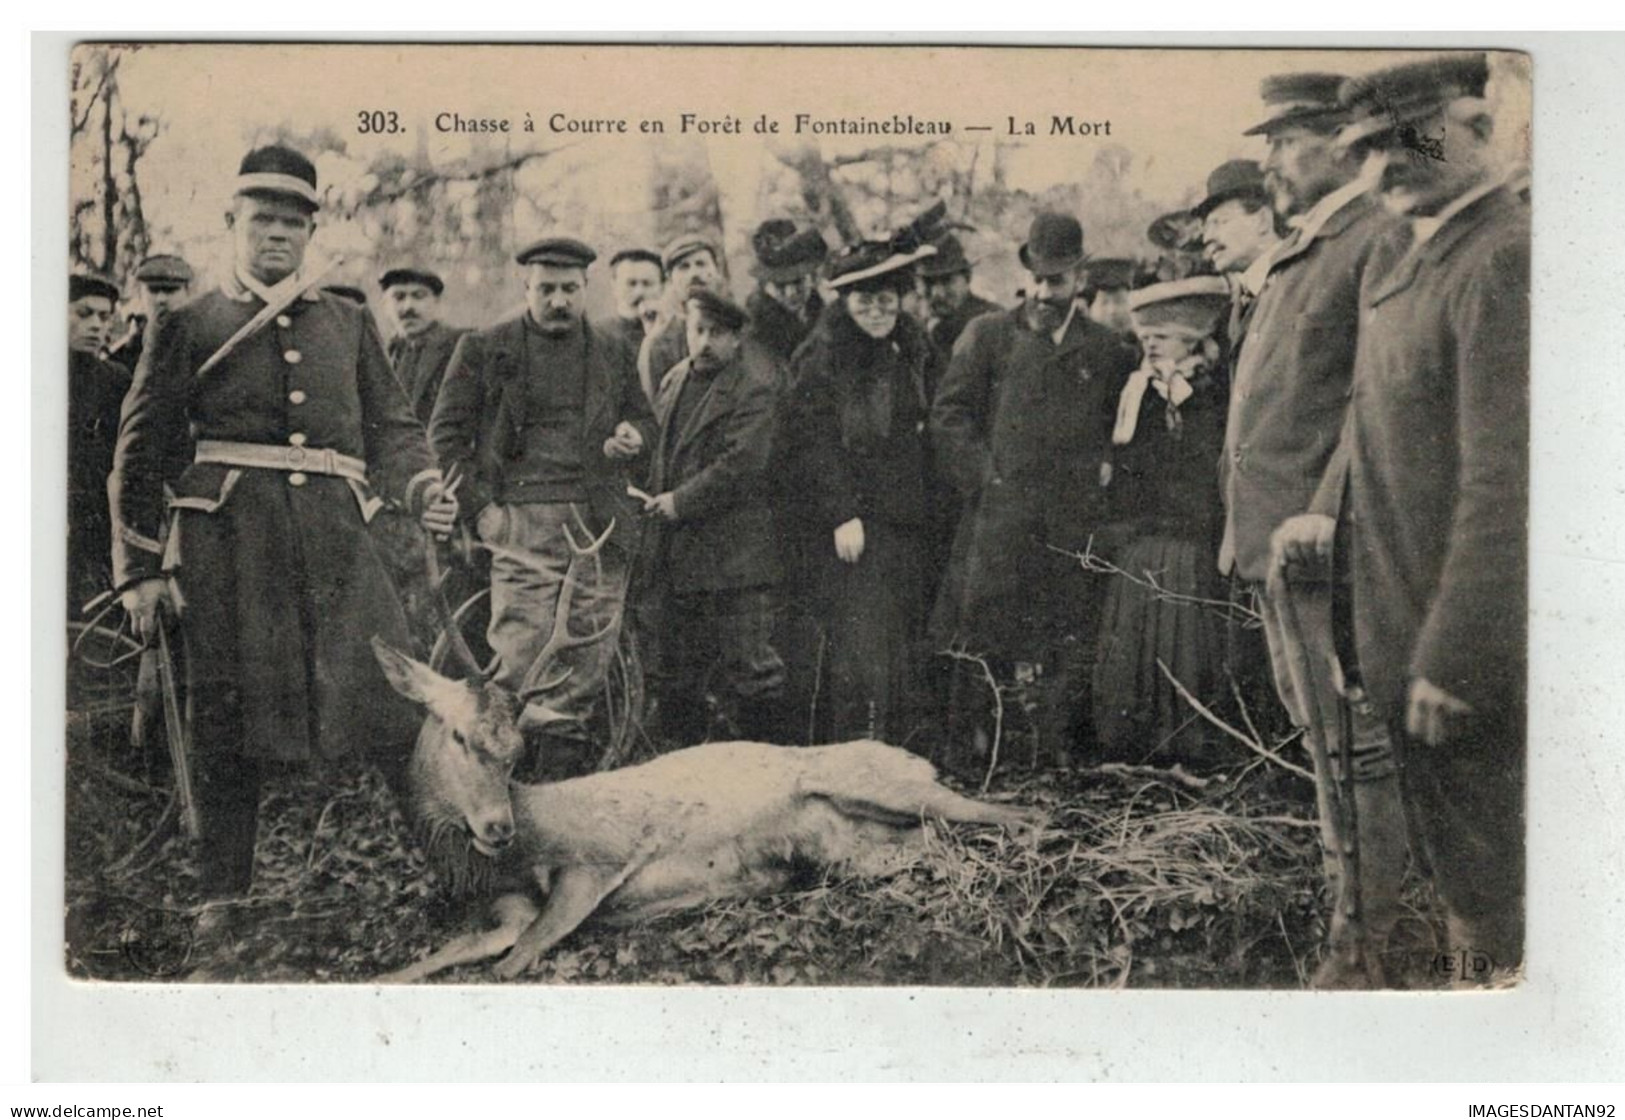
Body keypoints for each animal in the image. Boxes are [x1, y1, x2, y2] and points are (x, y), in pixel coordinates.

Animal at [372, 516, 1033, 975]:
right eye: (458, 734)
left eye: (516, 751)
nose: (497, 827)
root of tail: (917, 759)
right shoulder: (504, 913)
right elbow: (422, 965)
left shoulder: (594, 861)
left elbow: (513, 963)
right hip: (855, 847)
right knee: (937, 841)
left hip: (879, 784)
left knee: (1017, 814)